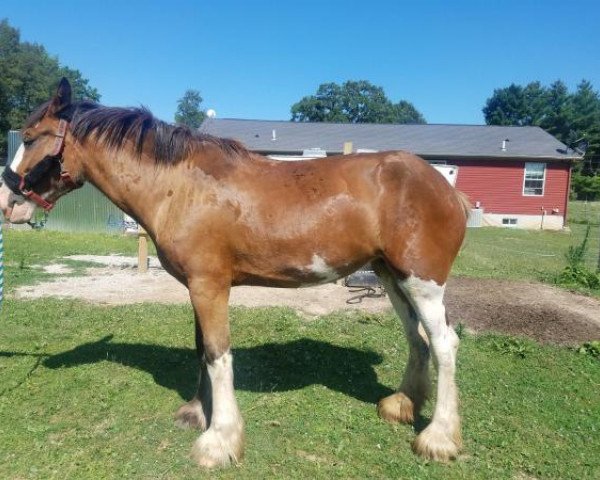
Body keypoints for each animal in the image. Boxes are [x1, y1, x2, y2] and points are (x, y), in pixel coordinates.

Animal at [0, 79, 468, 468]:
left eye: (30, 138)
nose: (8, 202)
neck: (179, 187)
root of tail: (445, 187)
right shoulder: (197, 286)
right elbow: (200, 350)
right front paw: (197, 412)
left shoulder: (210, 287)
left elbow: (217, 354)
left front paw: (219, 440)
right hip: (391, 276)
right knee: (417, 338)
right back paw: (402, 404)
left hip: (422, 281)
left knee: (444, 343)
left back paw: (438, 437)